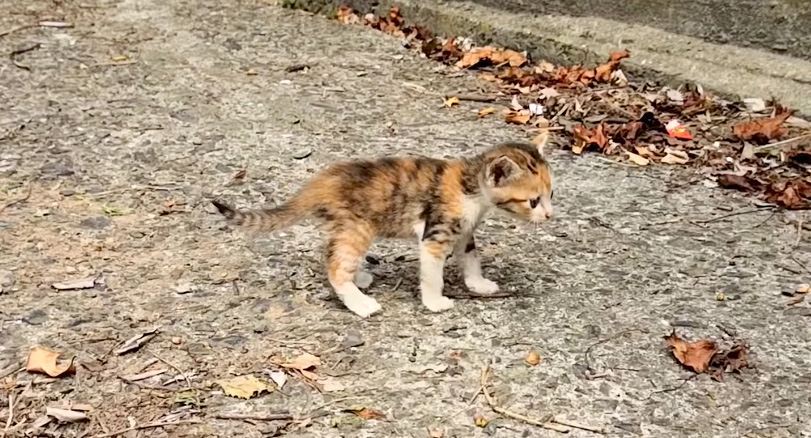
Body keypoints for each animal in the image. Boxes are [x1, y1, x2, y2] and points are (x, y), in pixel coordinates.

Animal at [209, 135, 556, 316]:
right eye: (532, 202)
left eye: (551, 195)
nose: (549, 215)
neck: (470, 189)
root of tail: (321, 182)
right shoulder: (435, 234)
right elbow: (432, 275)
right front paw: (434, 302)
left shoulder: (464, 231)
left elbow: (471, 258)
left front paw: (478, 284)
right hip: (357, 229)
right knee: (336, 267)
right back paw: (361, 304)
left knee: (330, 253)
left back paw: (359, 278)